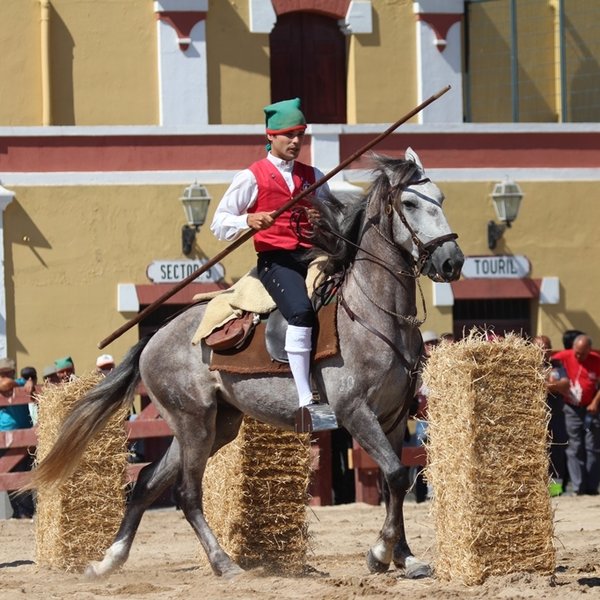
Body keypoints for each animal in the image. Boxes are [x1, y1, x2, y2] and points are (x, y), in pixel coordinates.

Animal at [31, 149, 464, 580]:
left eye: (442, 199)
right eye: (409, 204)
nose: (452, 261)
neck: (375, 313)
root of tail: (155, 337)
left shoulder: (394, 416)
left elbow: (397, 483)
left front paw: (405, 555)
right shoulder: (355, 411)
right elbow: (395, 474)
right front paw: (380, 552)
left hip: (213, 424)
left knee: (147, 483)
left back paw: (109, 560)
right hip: (194, 421)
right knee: (186, 493)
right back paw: (223, 563)